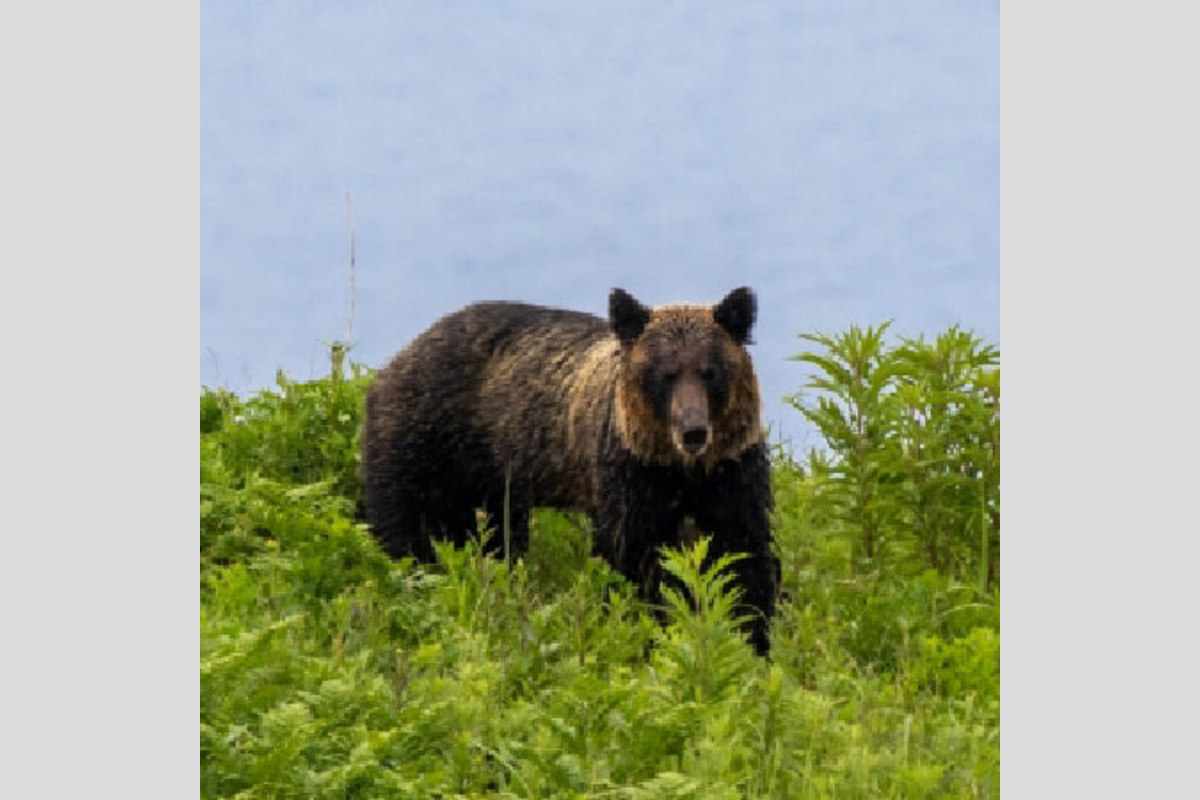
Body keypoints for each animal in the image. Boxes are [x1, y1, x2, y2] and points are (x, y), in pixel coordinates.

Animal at [360, 286, 782, 652]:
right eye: (666, 373)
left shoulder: (731, 472)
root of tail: (396, 358)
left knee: (496, 539)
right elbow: (632, 560)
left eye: (710, 371)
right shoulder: (631, 476)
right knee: (406, 528)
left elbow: (744, 552)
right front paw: (649, 627)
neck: (683, 471)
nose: (693, 431)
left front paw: (752, 634)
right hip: (425, 441)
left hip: (490, 483)